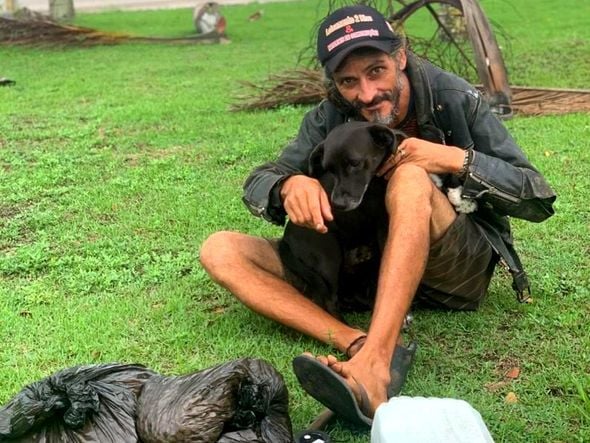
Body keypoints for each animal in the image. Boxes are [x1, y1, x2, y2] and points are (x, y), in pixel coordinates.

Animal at [278, 121, 402, 316]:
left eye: (354, 163)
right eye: (329, 169)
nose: (337, 204)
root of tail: (286, 238)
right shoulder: (383, 227)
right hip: (328, 255)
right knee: (329, 300)